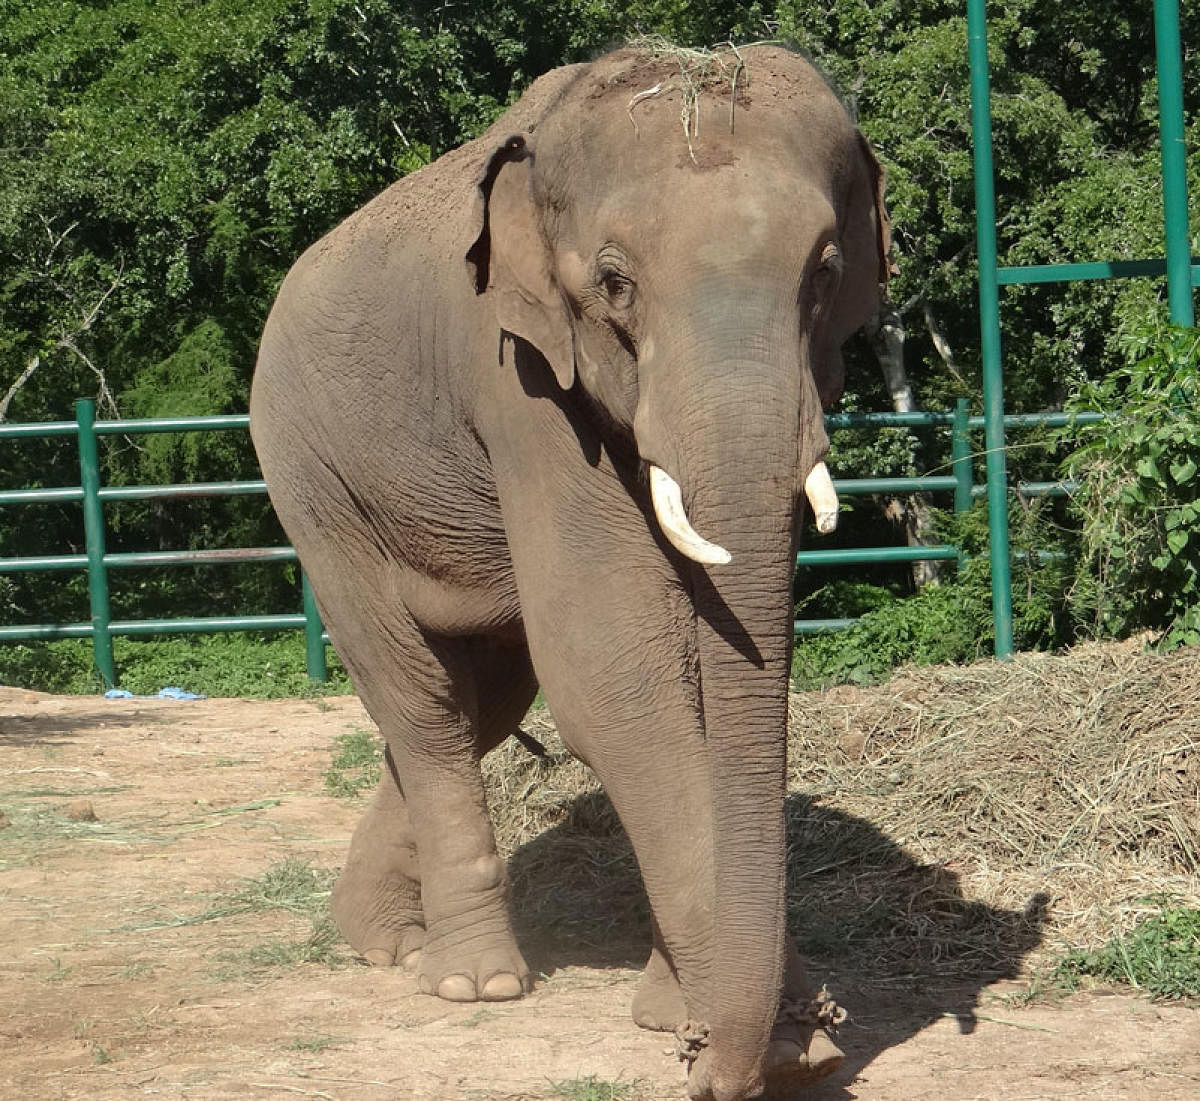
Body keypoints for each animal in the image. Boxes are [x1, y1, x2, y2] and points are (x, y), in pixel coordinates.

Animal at [250, 45, 892, 1101]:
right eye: (615, 282)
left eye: (826, 271)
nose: (707, 1069)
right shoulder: (519, 382)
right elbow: (611, 665)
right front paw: (777, 1039)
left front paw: (701, 1015)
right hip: (313, 483)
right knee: (422, 699)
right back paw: (471, 981)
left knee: (481, 698)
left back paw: (384, 941)